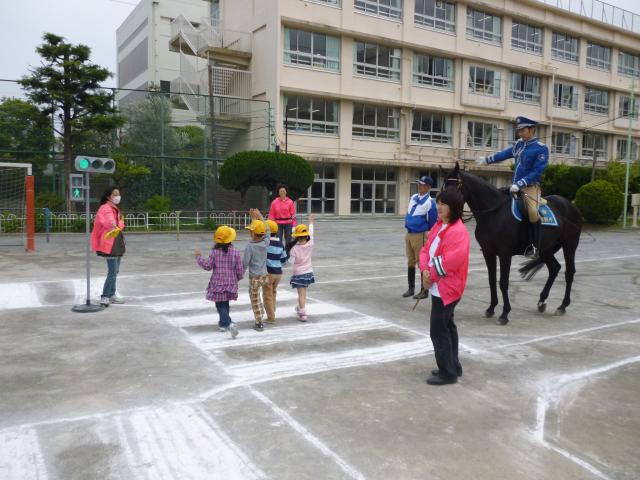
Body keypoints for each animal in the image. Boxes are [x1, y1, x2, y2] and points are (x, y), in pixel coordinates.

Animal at [442, 163, 584, 324]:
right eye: (444, 186)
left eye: (455, 187)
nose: (443, 206)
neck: (494, 213)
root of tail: (570, 205)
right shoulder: (488, 252)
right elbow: (492, 280)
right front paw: (491, 308)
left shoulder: (505, 254)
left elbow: (503, 282)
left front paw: (504, 313)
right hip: (546, 249)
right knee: (554, 268)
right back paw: (542, 301)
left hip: (569, 246)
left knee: (569, 272)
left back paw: (562, 305)